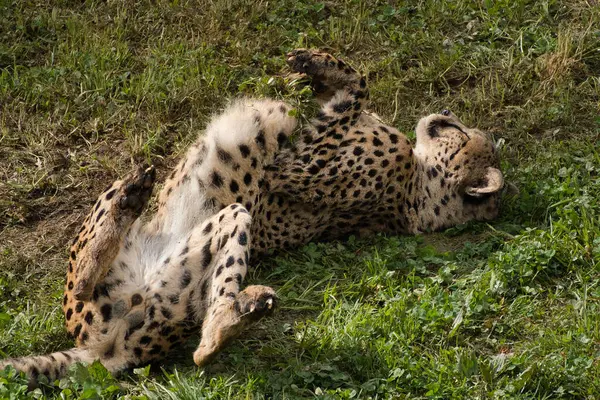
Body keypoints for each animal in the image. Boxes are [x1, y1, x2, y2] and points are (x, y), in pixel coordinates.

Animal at [1, 48, 506, 386]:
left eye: (462, 132)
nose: (444, 111)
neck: (417, 192)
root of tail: (105, 352)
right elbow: (350, 86)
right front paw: (310, 67)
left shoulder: (294, 163)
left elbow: (352, 87)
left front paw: (314, 67)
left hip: (196, 248)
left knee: (88, 276)